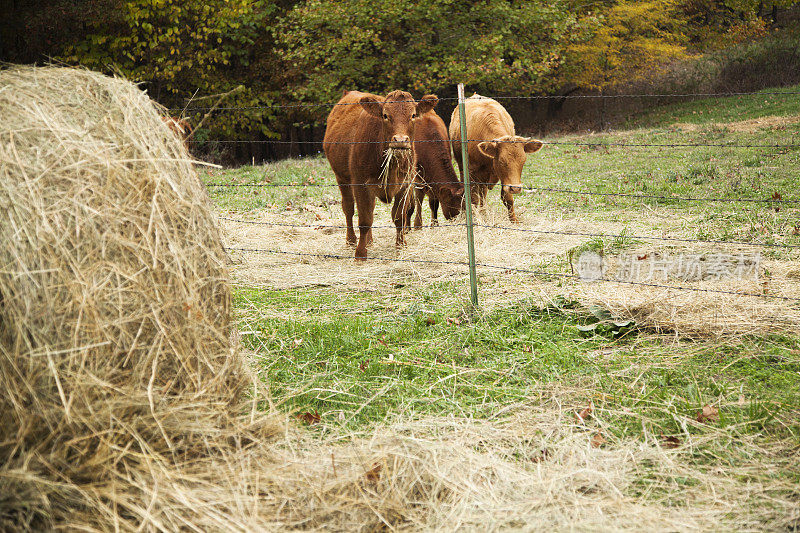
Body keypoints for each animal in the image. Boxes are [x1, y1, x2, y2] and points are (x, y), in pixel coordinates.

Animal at [324, 90, 438, 260]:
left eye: (413, 115)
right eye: (385, 115)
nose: (400, 140)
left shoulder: (406, 185)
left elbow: (399, 217)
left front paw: (401, 246)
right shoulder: (360, 184)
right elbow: (364, 220)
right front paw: (360, 254)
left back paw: (369, 241)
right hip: (342, 178)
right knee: (349, 208)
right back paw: (351, 240)